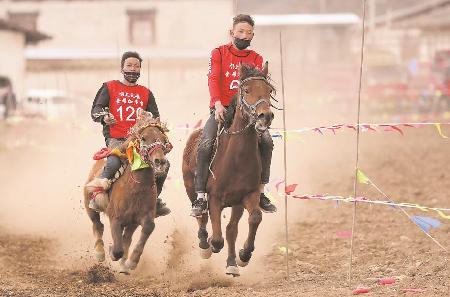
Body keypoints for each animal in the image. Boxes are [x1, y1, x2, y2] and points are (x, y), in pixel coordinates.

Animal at [83, 112, 170, 272]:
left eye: (163, 139)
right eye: (144, 138)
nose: (160, 162)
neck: (137, 188)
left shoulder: (143, 217)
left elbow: (147, 228)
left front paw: (132, 261)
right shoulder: (115, 218)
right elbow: (117, 248)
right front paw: (112, 252)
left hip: (131, 223)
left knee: (127, 237)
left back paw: (123, 264)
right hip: (89, 205)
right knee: (97, 224)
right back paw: (100, 253)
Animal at [182, 61, 274, 276]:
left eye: (269, 90)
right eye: (247, 90)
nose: (265, 116)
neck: (237, 160)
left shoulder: (247, 195)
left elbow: (253, 219)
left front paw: (243, 256)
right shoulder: (215, 199)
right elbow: (216, 237)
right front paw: (210, 245)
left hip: (237, 203)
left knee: (231, 229)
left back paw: (232, 262)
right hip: (191, 188)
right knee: (201, 216)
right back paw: (204, 245)